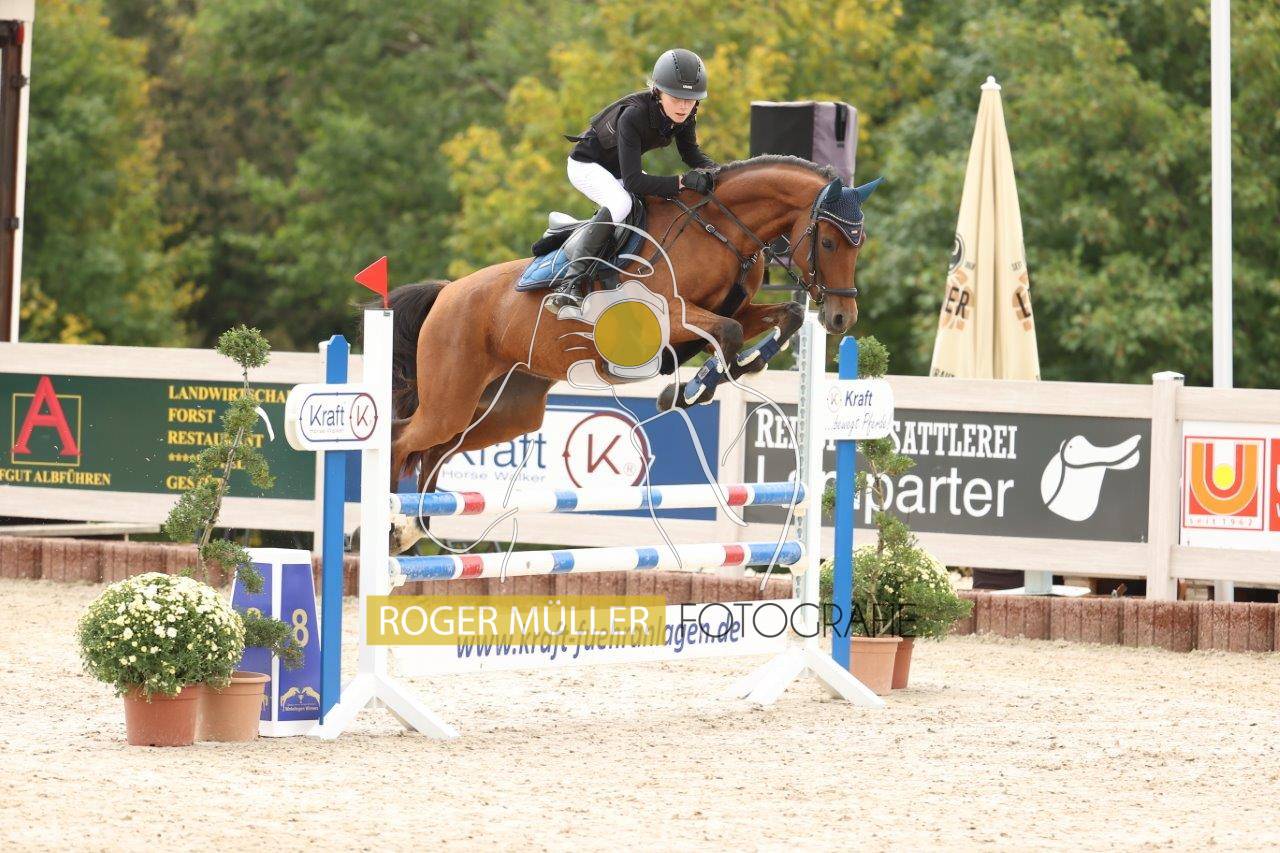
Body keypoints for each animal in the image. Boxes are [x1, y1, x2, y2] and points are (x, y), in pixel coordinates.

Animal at [382, 155, 880, 553]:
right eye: (829, 242)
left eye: (859, 243)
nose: (842, 317)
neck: (720, 233)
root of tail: (447, 293)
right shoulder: (666, 319)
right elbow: (730, 332)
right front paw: (685, 392)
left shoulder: (731, 310)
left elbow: (782, 318)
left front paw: (738, 369)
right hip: (452, 395)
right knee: (402, 439)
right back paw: (389, 525)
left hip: (511, 408)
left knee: (441, 447)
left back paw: (414, 526)